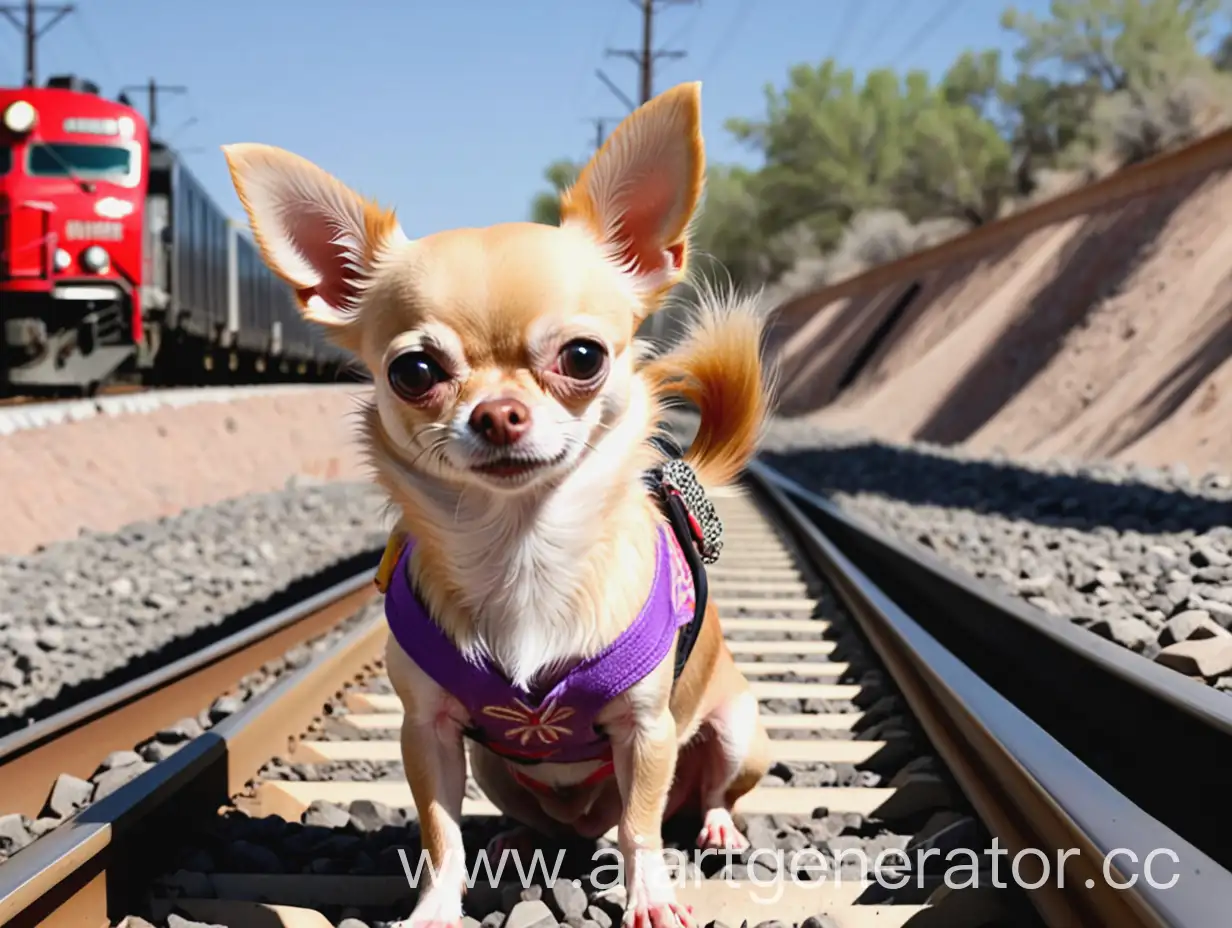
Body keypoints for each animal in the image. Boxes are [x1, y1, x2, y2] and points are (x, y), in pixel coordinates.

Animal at [224, 81, 768, 926]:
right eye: (413, 370)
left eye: (583, 356)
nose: (498, 413)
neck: (521, 551)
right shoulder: (429, 731)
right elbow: (440, 832)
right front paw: (437, 908)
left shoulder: (647, 732)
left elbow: (643, 825)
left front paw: (649, 898)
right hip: (494, 766)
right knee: (542, 817)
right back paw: (520, 838)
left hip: (737, 730)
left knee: (691, 796)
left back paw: (712, 826)